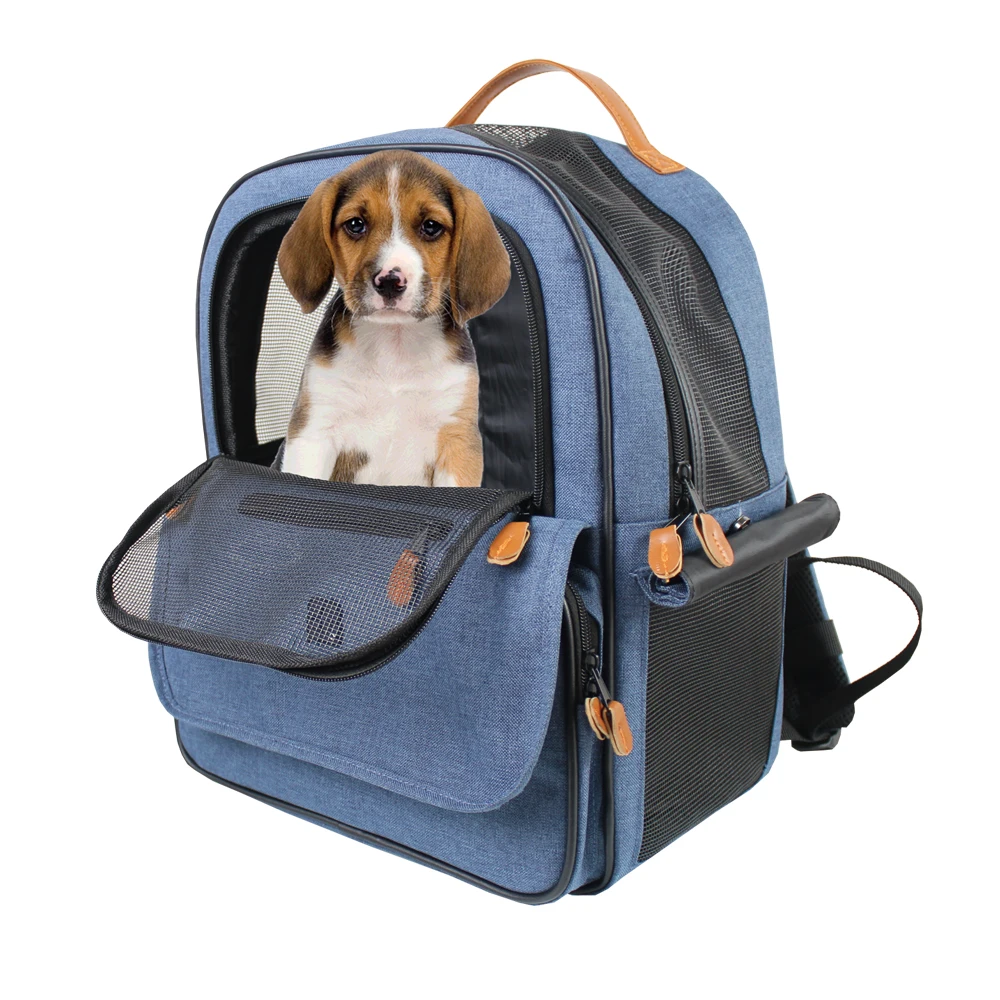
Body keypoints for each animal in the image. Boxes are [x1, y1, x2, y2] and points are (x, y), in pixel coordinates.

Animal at [277, 151, 510, 487]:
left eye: (431, 226)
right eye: (356, 224)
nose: (389, 281)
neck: (394, 343)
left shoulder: (457, 442)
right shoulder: (313, 433)